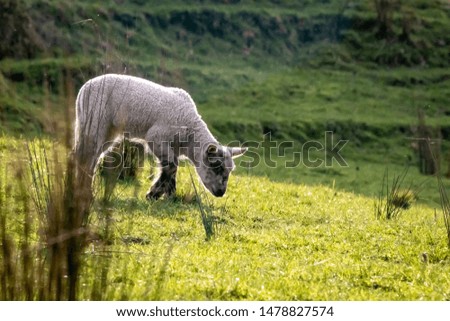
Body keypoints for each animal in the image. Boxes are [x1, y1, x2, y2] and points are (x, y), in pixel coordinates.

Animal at [75, 74, 248, 200]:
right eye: (216, 167)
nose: (220, 192)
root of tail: (83, 89)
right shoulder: (156, 137)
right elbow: (171, 166)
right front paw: (154, 194)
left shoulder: (174, 147)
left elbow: (173, 168)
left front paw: (169, 194)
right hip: (96, 121)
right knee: (85, 156)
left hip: (105, 129)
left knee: (90, 156)